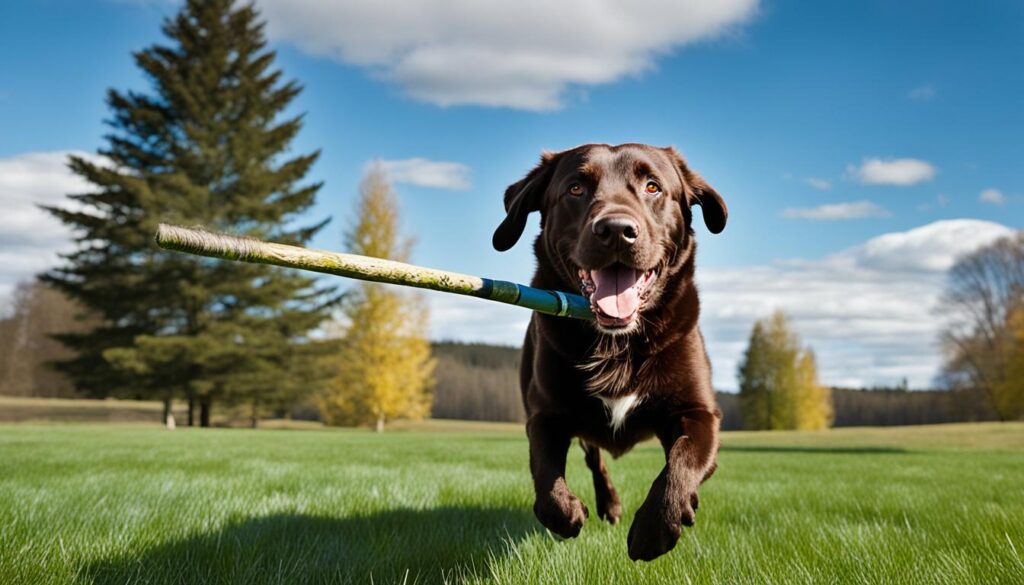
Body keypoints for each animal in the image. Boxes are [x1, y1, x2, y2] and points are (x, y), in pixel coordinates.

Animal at [489, 143, 724, 561]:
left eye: (652, 186)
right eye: (575, 188)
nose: (616, 230)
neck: (618, 341)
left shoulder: (698, 413)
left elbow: (681, 462)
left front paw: (654, 530)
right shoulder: (544, 415)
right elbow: (546, 478)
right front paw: (570, 512)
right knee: (594, 458)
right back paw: (608, 504)